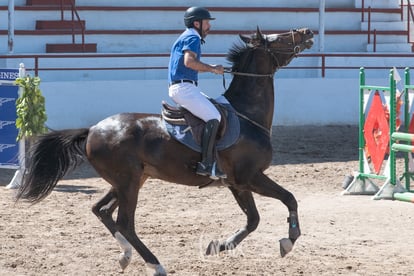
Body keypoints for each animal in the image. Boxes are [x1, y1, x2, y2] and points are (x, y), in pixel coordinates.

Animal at [15, 27, 314, 274]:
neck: (246, 114)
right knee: (124, 223)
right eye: (278, 39)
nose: (307, 32)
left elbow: (253, 219)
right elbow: (289, 199)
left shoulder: (237, 183)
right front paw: (289, 240)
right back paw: (155, 265)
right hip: (128, 182)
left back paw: (125, 256)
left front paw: (217, 246)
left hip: (131, 180)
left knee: (101, 210)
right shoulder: (250, 177)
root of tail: (92, 129)